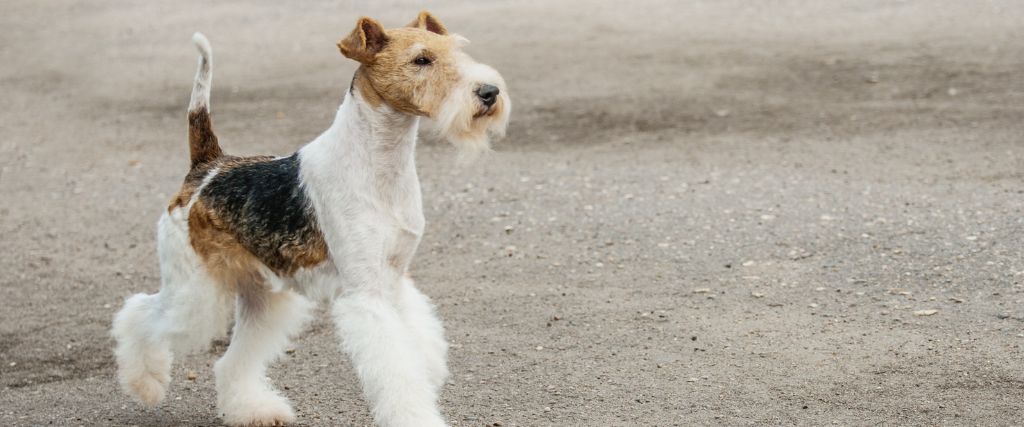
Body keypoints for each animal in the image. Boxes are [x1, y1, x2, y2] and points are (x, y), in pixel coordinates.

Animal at [110, 11, 509, 423]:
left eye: (457, 51)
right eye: (421, 60)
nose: (489, 93)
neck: (381, 164)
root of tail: (208, 167)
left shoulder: (395, 279)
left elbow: (417, 344)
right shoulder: (366, 292)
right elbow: (396, 369)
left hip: (263, 297)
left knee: (230, 361)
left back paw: (255, 410)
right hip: (195, 289)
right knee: (138, 313)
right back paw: (146, 384)